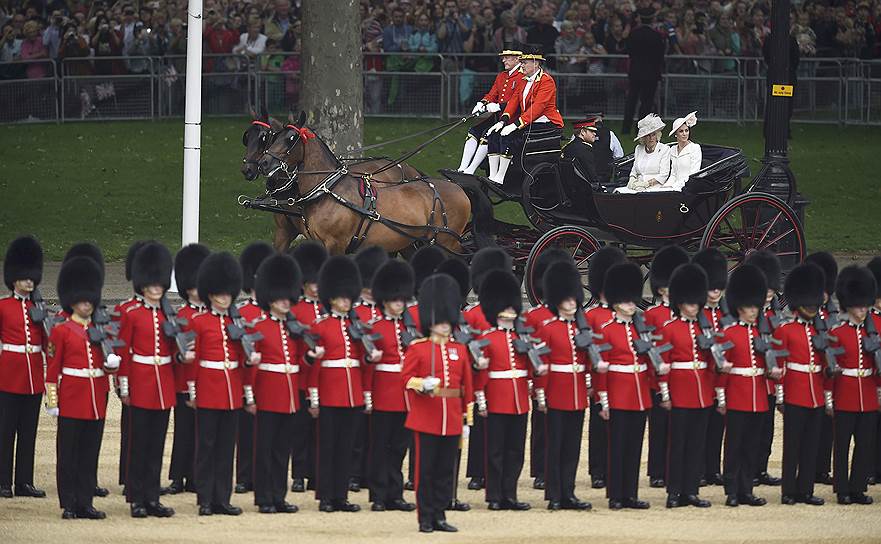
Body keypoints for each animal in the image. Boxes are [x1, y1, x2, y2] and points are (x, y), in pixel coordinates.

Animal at [256, 112, 496, 255]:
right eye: (274, 137)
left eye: (291, 139)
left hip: (447, 243)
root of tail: (457, 186)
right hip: (412, 242)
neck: (328, 190)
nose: (263, 163)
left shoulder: (336, 245)